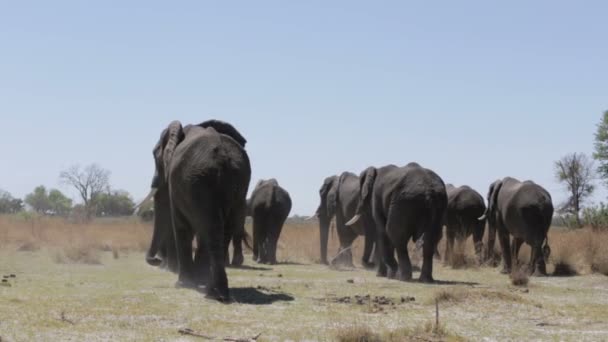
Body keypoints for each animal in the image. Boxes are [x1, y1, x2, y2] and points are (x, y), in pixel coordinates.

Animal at [144, 120, 251, 302]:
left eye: (154, 155)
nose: (155, 260)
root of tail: (222, 158)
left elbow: (180, 224)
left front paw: (183, 284)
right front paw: (196, 280)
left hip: (198, 183)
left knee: (209, 229)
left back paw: (212, 292)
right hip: (236, 184)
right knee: (221, 230)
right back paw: (216, 292)